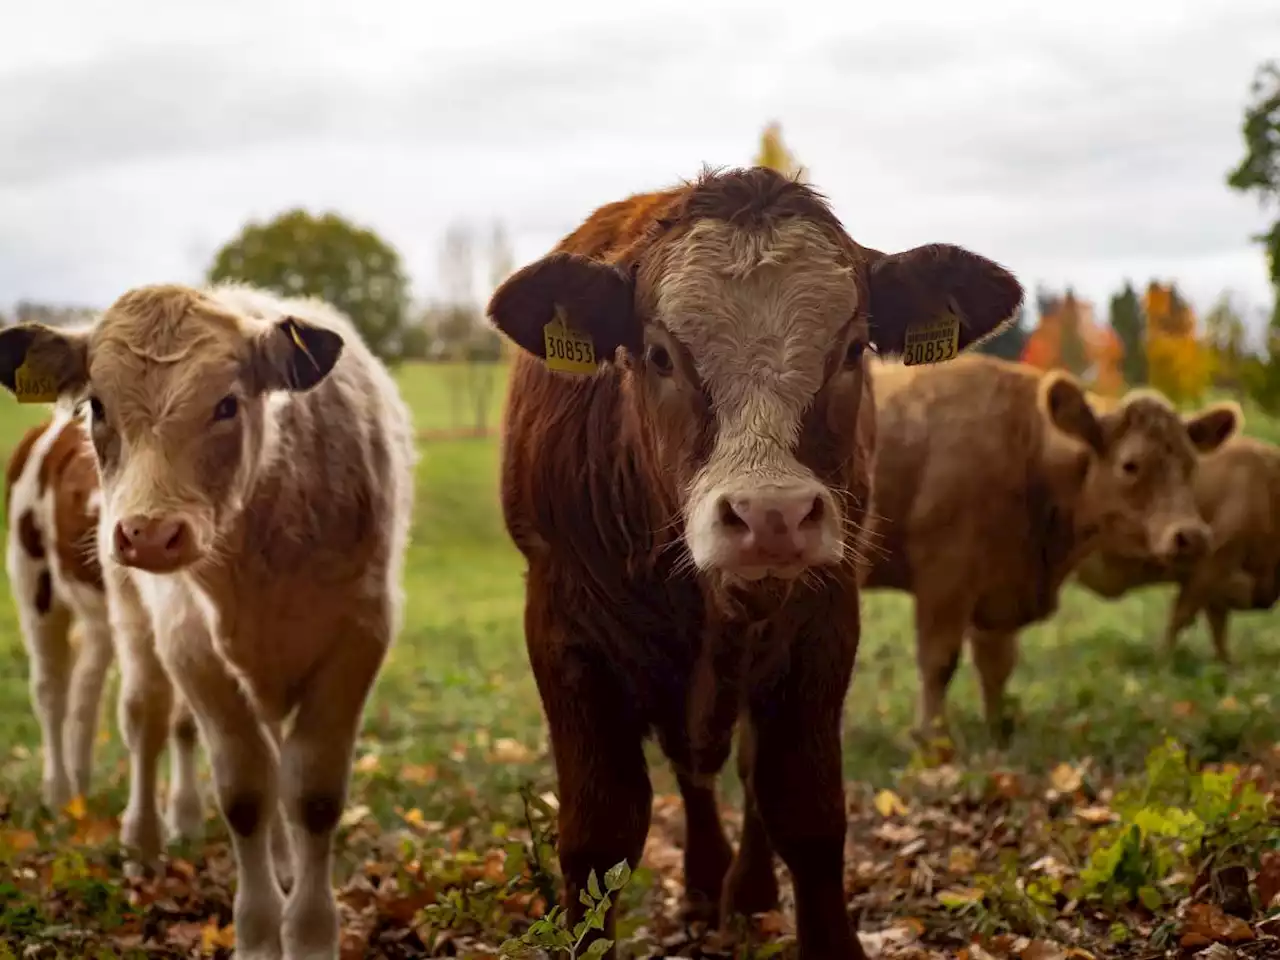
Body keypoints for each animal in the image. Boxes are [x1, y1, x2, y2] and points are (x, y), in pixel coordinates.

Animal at [4, 409, 202, 839]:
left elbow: (186, 720)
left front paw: (185, 821)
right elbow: (146, 710)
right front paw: (145, 832)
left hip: (100, 615)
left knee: (85, 684)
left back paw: (79, 788)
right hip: (33, 578)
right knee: (50, 689)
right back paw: (59, 793)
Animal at [483, 167, 1024, 960]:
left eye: (853, 349)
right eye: (659, 355)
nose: (772, 516)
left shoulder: (824, 622)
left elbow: (805, 807)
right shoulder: (563, 630)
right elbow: (600, 832)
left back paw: (745, 891)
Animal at [860, 358, 1239, 742]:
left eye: (1191, 465)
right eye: (1130, 465)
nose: (1192, 535)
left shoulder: (999, 592)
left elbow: (997, 665)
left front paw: (997, 733)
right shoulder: (945, 577)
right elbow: (939, 661)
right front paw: (932, 740)